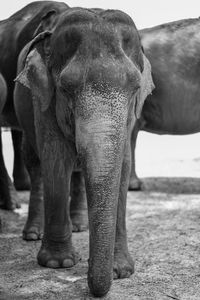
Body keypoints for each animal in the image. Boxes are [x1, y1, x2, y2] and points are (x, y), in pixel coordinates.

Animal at [14, 5, 155, 296]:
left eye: (136, 88)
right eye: (65, 88)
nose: (89, 276)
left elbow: (123, 165)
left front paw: (121, 271)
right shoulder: (44, 101)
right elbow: (56, 159)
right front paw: (59, 263)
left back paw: (80, 226)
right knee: (35, 163)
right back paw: (33, 233)